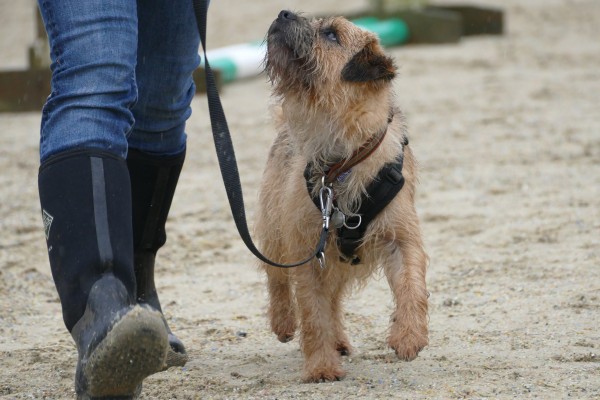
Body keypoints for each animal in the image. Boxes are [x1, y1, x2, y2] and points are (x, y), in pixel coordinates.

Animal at [255, 10, 428, 382]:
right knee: (278, 281)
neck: (342, 159)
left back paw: (340, 341)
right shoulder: (305, 251)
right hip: (276, 232)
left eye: (332, 34)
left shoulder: (401, 238)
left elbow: (412, 286)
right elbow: (313, 314)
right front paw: (321, 366)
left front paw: (409, 335)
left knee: (332, 300)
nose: (283, 13)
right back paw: (284, 322)